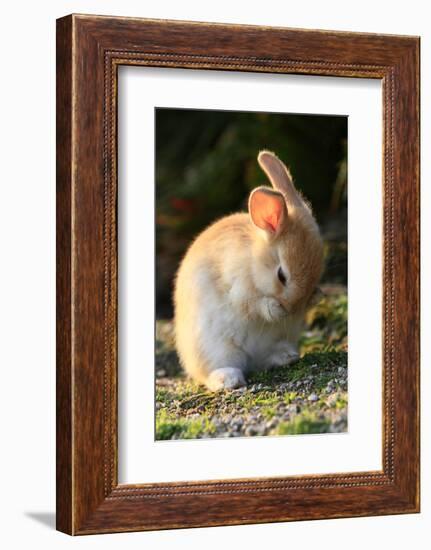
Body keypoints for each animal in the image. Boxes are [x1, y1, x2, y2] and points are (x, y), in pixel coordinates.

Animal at [174, 151, 322, 392]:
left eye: (317, 273)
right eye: (281, 276)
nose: (291, 309)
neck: (254, 260)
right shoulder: (238, 288)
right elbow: (254, 304)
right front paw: (276, 310)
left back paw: (286, 356)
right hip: (216, 349)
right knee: (213, 371)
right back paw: (228, 379)